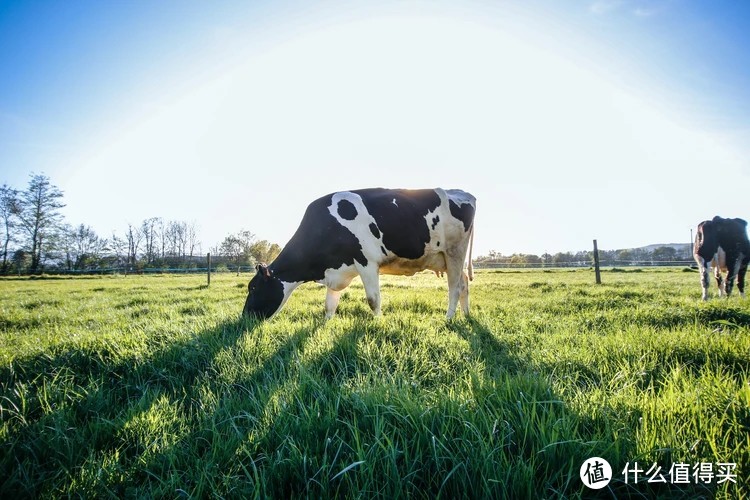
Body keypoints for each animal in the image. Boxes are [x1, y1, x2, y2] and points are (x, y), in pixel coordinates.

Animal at [247, 188, 482, 320]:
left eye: (253, 288)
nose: (245, 317)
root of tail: (462, 192)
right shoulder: (336, 270)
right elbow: (329, 304)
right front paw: (326, 324)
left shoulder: (367, 262)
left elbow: (373, 300)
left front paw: (379, 322)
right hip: (446, 258)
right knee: (464, 284)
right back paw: (466, 315)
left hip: (454, 252)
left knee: (454, 288)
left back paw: (449, 318)